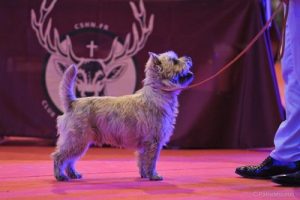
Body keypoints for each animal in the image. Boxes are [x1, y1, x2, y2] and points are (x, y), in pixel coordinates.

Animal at [52, 50, 195, 181]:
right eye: (174, 61)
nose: (189, 57)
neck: (157, 93)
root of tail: (73, 102)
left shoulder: (145, 144)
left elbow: (142, 160)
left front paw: (144, 174)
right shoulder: (154, 141)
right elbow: (152, 160)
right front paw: (154, 175)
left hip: (79, 142)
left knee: (70, 160)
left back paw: (73, 174)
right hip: (76, 139)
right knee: (59, 156)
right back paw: (60, 176)